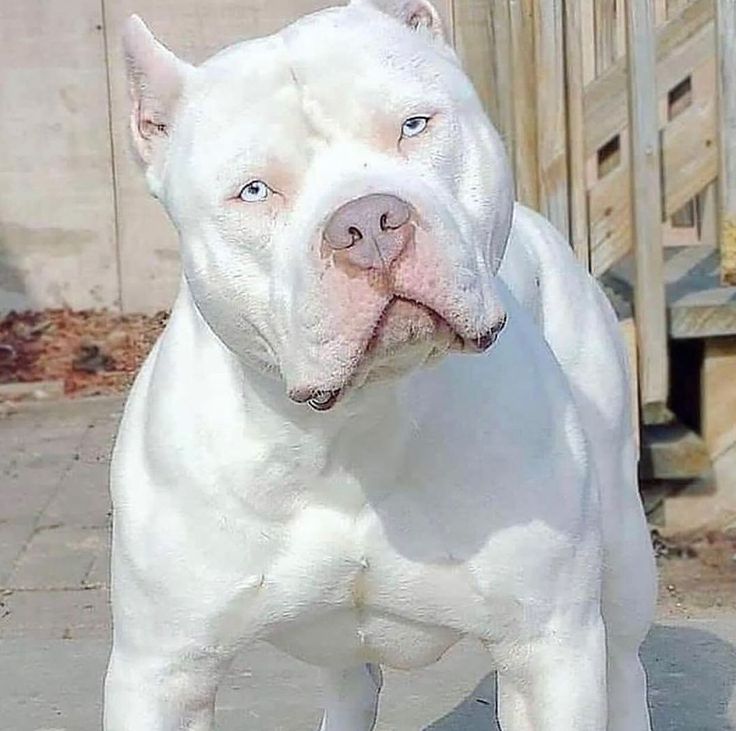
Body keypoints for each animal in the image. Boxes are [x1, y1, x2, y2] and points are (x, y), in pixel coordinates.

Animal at [105, 2, 656, 728]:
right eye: (254, 190)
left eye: (413, 125)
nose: (368, 223)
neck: (351, 428)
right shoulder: (163, 672)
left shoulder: (547, 649)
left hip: (618, 568)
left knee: (623, 661)